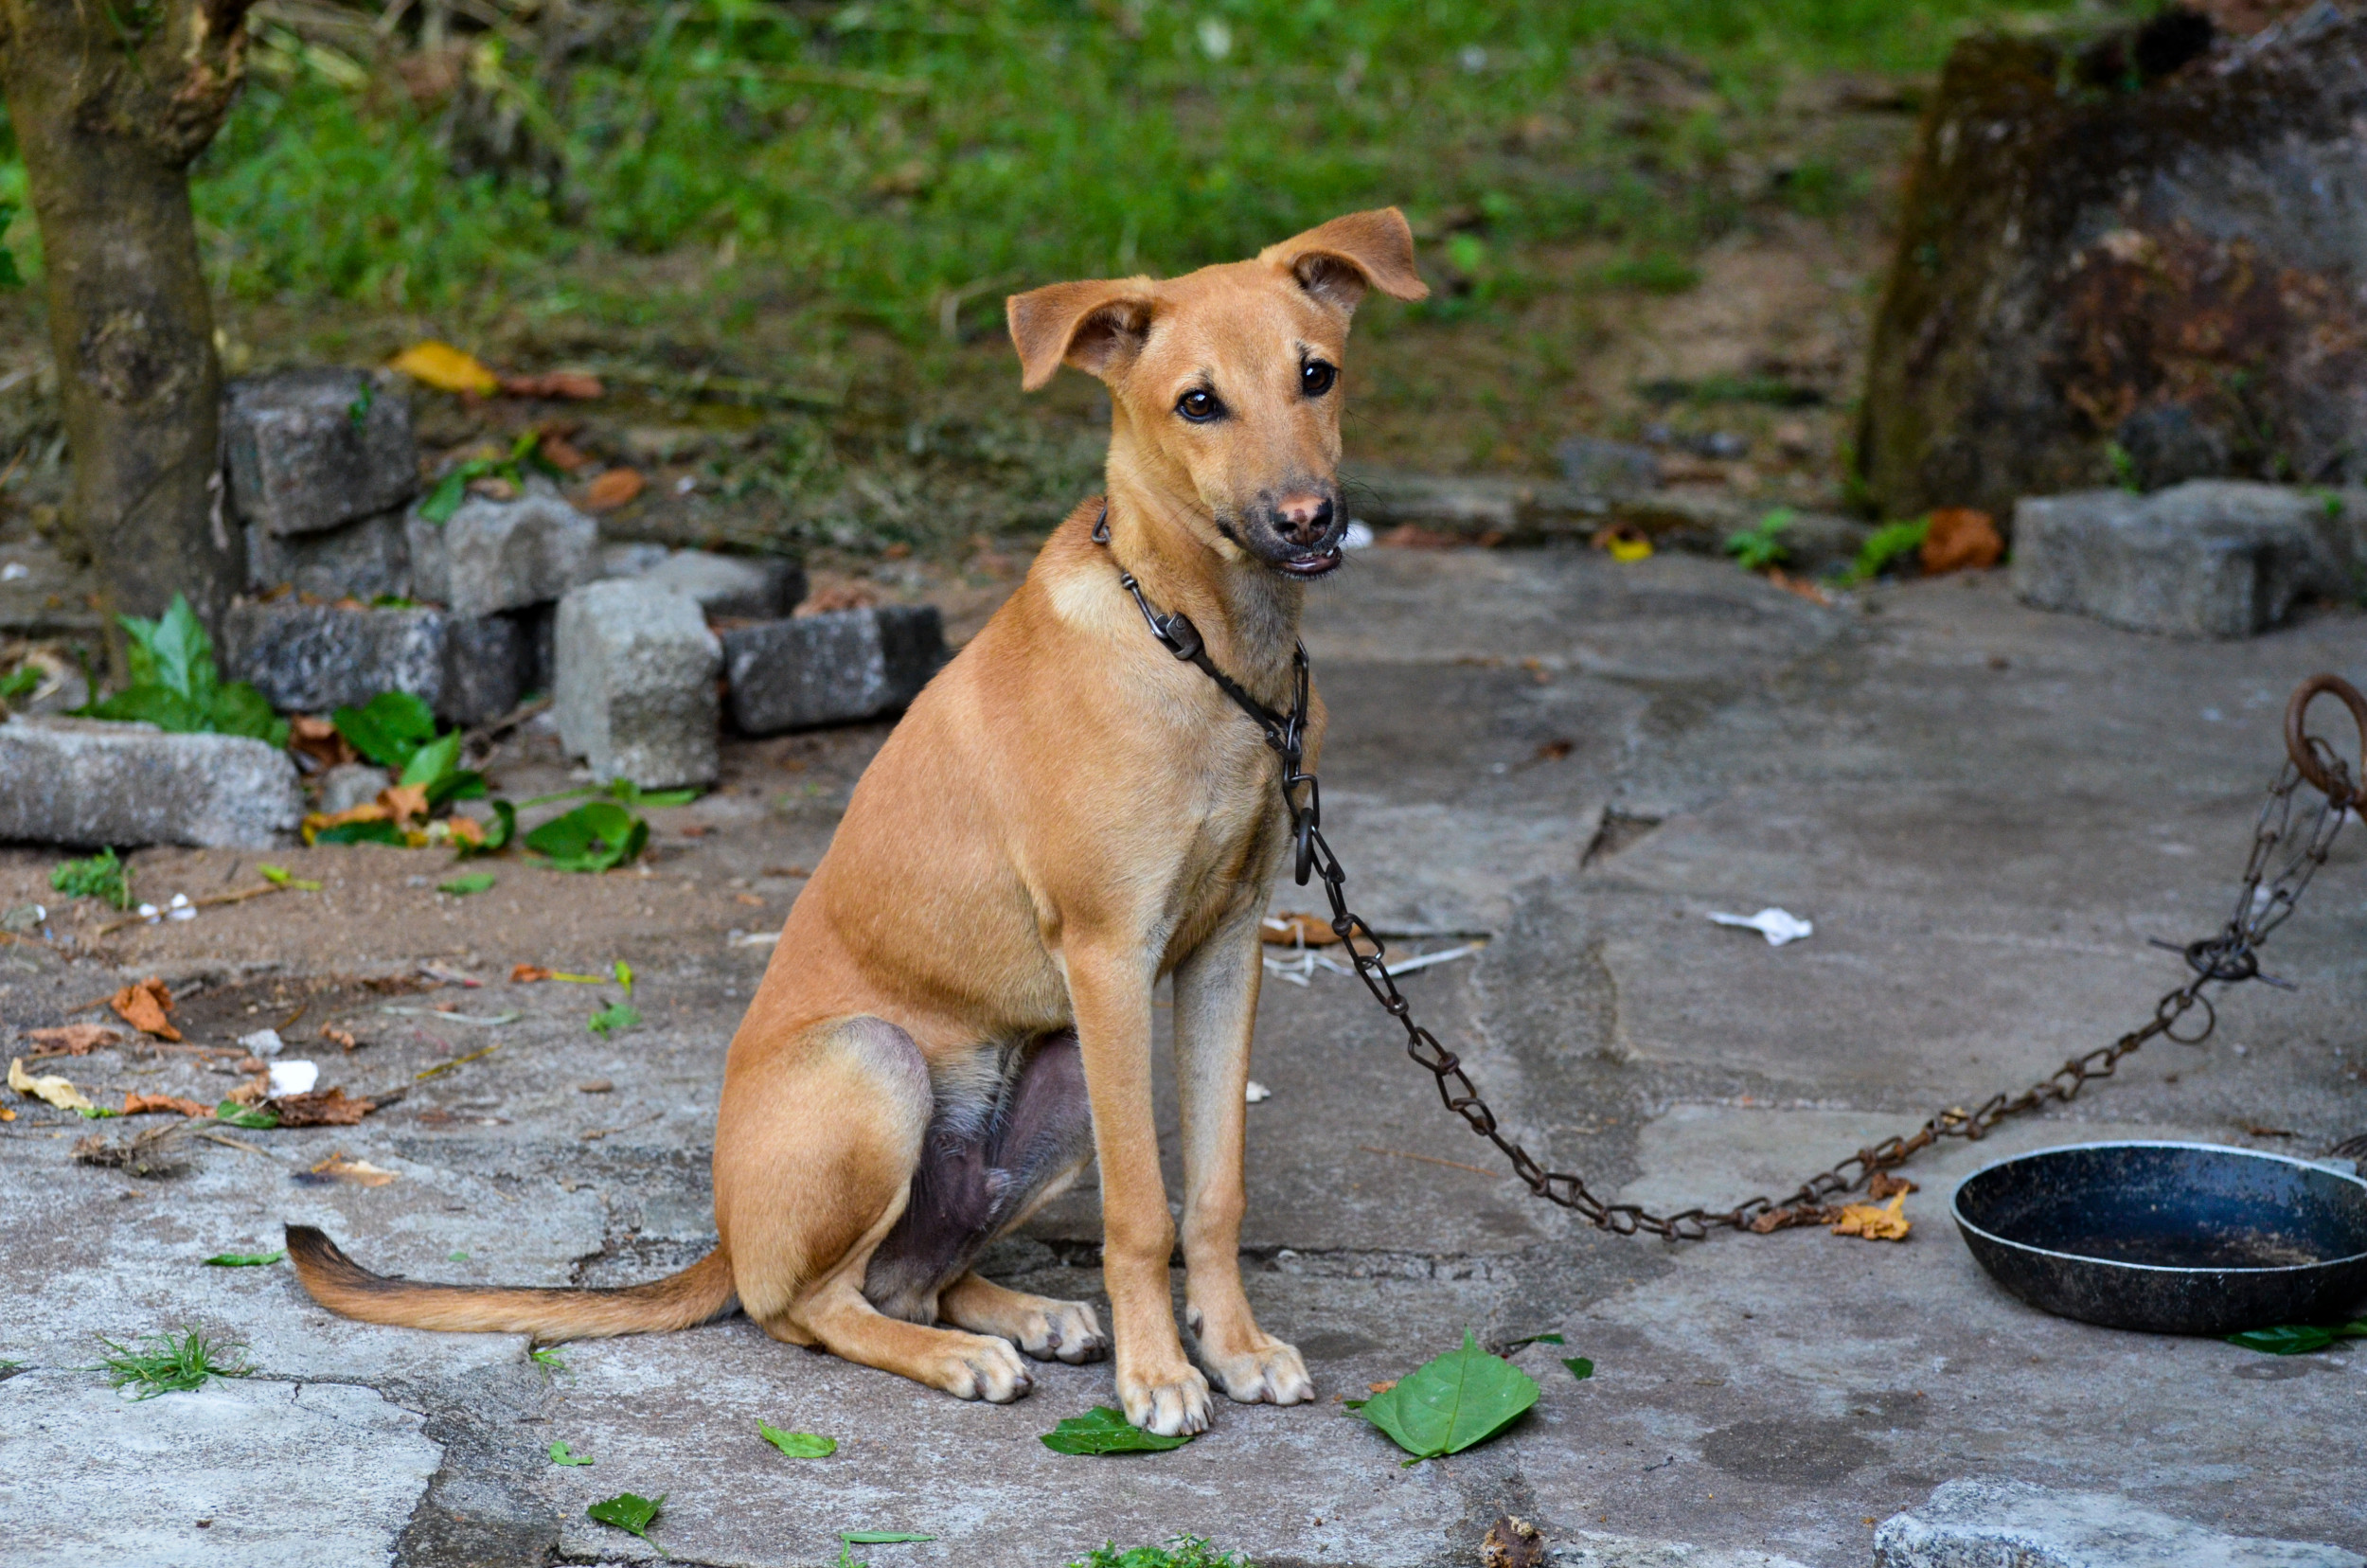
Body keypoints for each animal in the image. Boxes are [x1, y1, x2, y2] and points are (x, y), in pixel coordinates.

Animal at [276, 205, 1420, 1439]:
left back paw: (1020, 1314)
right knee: (808, 1307)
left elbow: (1212, 1188)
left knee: (911, 1272)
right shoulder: (1113, 958)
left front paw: (1234, 1347)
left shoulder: (1223, 950)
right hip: (880, 1067)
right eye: (1197, 403)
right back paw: (956, 1356)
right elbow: (1143, 1209)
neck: (1198, 648)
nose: (1308, 519)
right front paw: (1160, 1375)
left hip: (1054, 1081)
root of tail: (726, 1239)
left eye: (1317, 376)